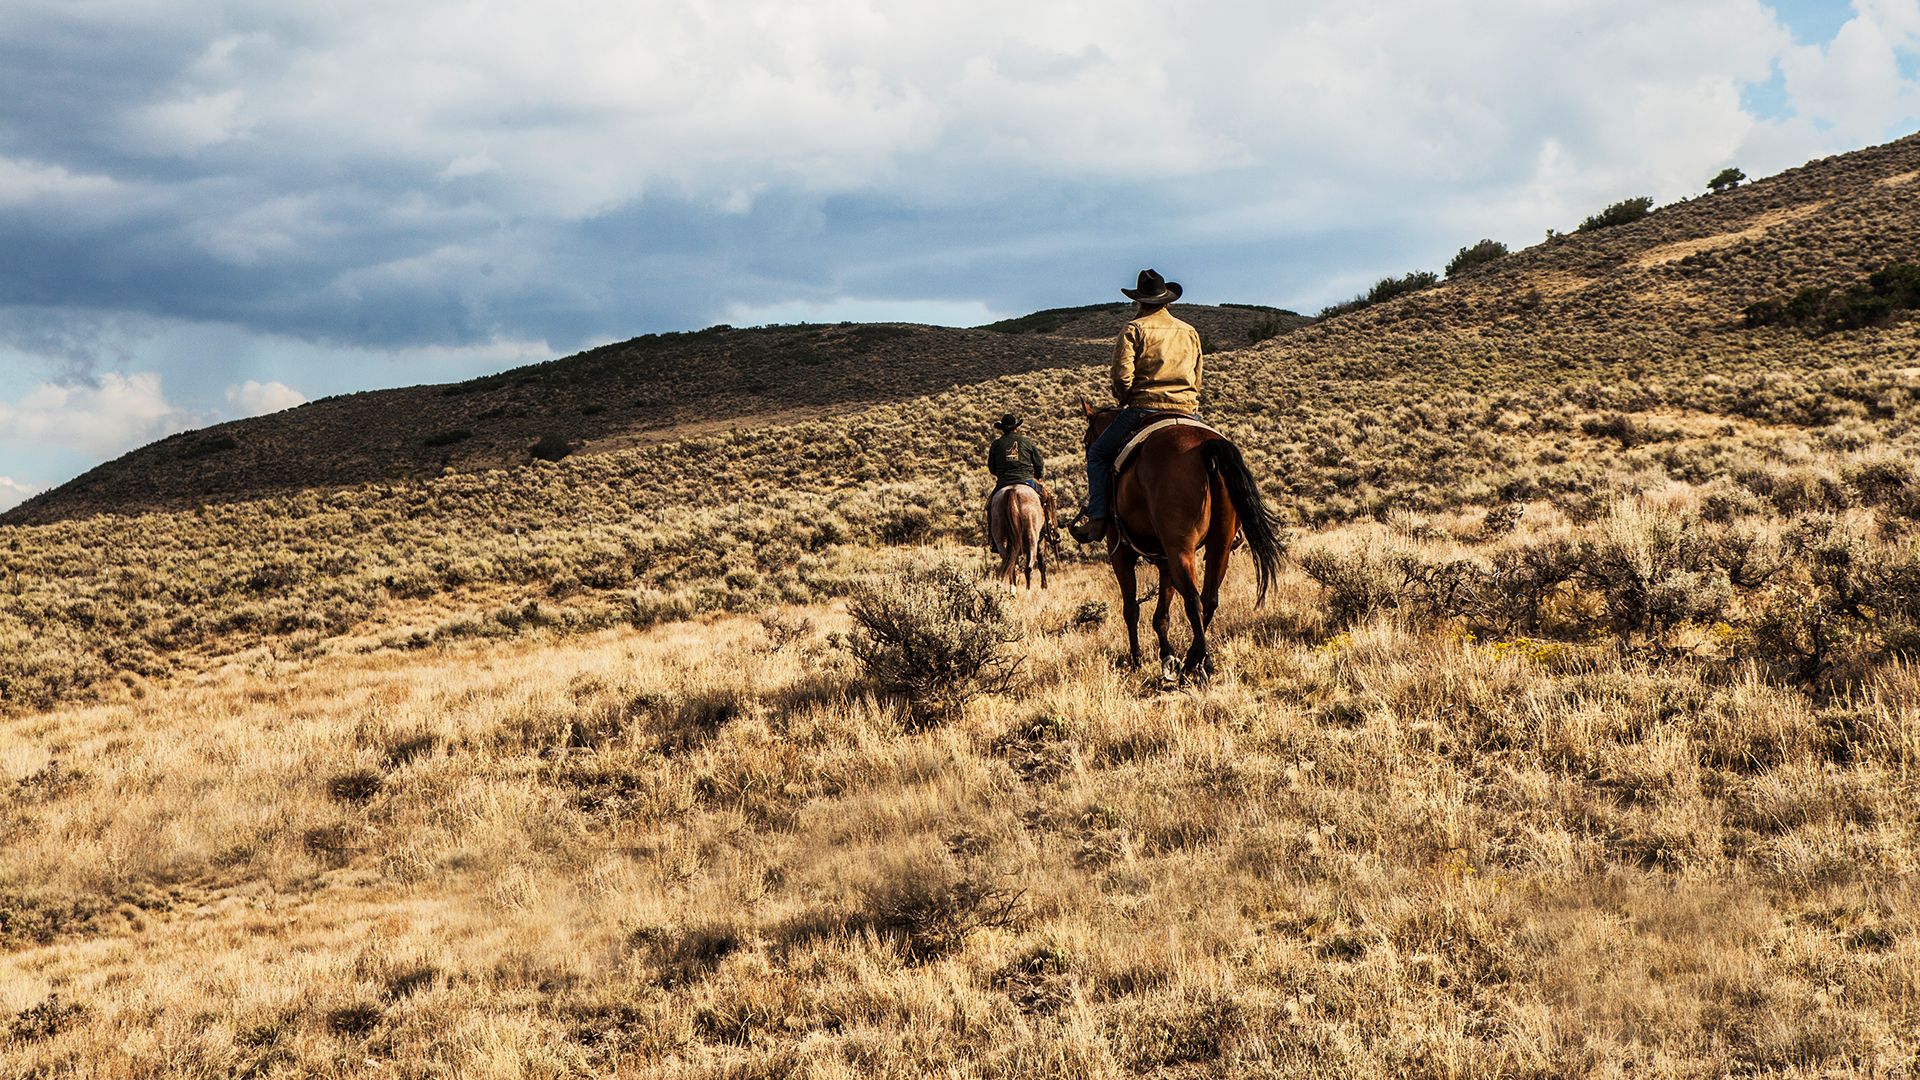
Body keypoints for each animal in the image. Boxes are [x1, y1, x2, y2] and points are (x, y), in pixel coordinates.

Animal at [1082, 403, 1290, 680]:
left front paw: (1137, 660)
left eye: (1087, 442)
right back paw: (1193, 659)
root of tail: (1205, 447)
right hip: (1219, 545)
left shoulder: (1121, 554)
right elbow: (1162, 615)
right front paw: (1166, 656)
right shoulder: (1164, 560)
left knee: (1193, 599)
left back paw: (1201, 663)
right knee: (1209, 598)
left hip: (1180, 549)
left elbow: (1131, 609)